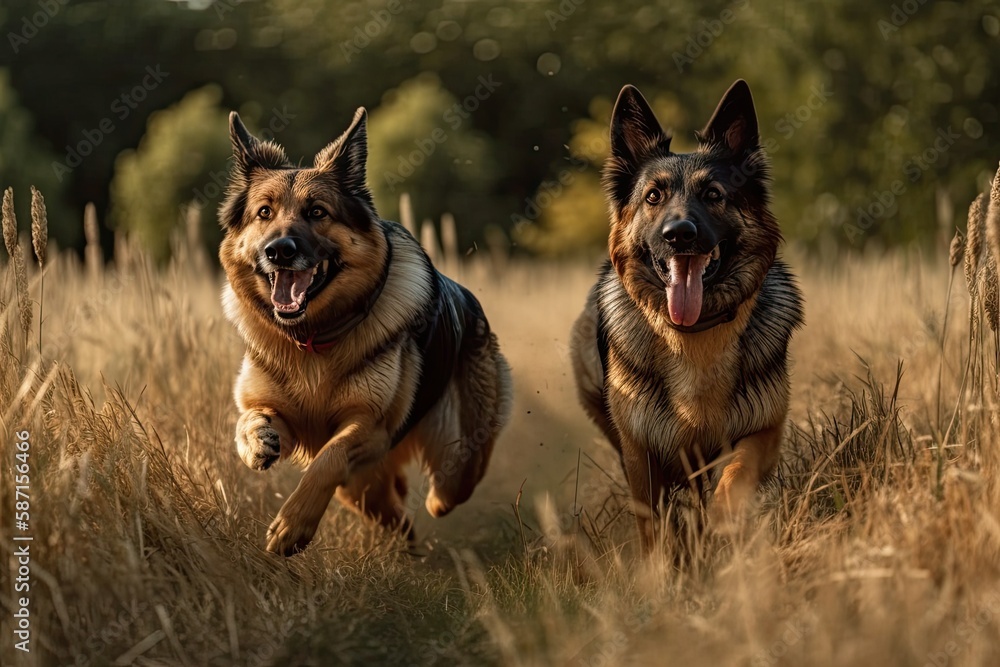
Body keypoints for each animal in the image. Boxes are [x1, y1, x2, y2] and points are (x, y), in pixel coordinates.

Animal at [221, 111, 516, 560]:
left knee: (450, 487)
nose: (279, 250)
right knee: (396, 517)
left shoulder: (369, 427)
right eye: (264, 213)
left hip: (458, 450)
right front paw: (255, 442)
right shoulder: (282, 414)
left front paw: (292, 526)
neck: (312, 338)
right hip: (360, 489)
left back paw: (433, 507)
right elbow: (249, 419)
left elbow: (330, 457)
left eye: (317, 212)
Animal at [572, 81, 804, 552]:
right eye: (653, 196)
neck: (693, 334)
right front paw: (665, 565)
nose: (679, 235)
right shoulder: (640, 453)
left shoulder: (764, 431)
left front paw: (725, 523)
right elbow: (655, 526)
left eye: (713, 194)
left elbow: (736, 475)